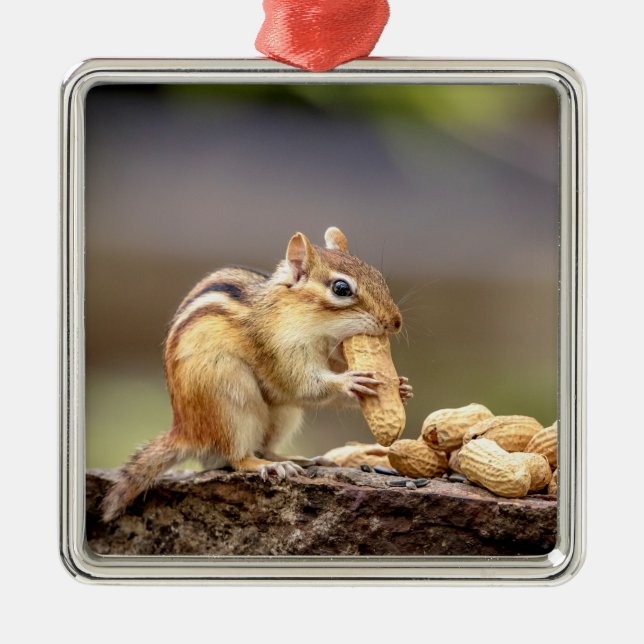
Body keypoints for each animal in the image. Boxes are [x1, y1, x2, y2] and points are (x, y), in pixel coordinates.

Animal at [101, 226, 412, 521]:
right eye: (341, 288)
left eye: (377, 276)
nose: (396, 322)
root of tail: (186, 431)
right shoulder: (279, 350)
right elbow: (303, 385)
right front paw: (350, 382)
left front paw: (401, 387)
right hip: (230, 400)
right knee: (238, 458)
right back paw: (269, 466)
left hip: (283, 414)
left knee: (265, 446)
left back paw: (299, 460)